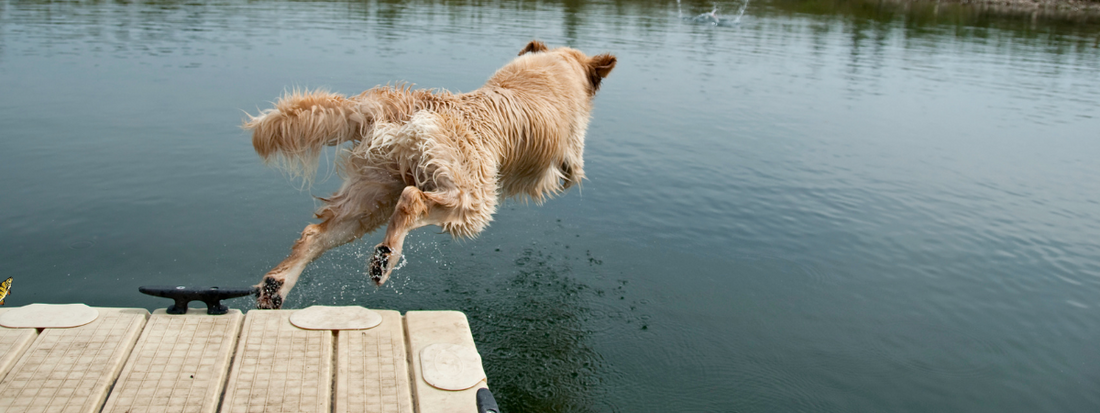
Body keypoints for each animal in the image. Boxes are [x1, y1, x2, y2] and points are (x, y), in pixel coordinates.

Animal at [244, 42, 616, 308]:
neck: (555, 64)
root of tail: (414, 102)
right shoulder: (571, 150)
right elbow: (571, 173)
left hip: (370, 198)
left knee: (314, 235)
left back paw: (275, 286)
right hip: (472, 200)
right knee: (413, 200)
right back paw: (385, 259)